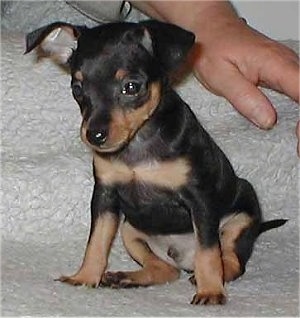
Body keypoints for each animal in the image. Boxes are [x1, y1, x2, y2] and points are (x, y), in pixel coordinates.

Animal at [25, 20, 286, 306]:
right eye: (77, 89)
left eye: (131, 87)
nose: (94, 135)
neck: (139, 143)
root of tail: (183, 257)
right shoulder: (105, 196)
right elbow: (96, 242)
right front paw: (85, 277)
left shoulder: (200, 201)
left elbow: (208, 252)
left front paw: (210, 291)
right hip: (131, 231)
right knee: (166, 270)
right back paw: (127, 278)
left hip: (240, 218)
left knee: (230, 260)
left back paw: (213, 276)